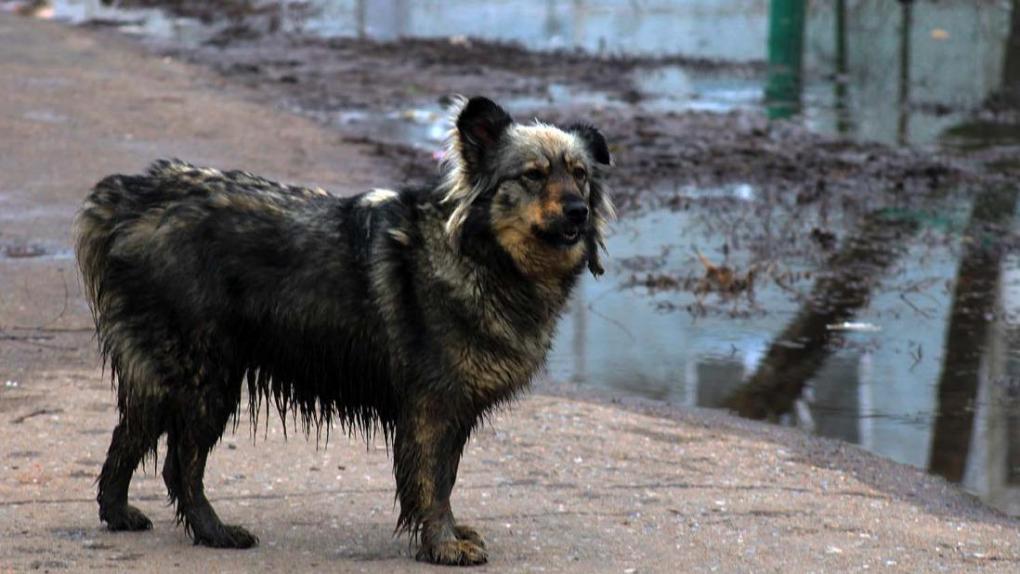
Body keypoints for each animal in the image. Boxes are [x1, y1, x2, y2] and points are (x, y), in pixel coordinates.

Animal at [75, 95, 612, 566]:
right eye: (532, 176)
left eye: (580, 175)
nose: (578, 211)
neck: (481, 254)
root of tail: (132, 197)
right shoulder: (432, 406)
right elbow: (433, 484)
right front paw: (442, 545)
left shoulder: (452, 409)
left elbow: (445, 478)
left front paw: (449, 535)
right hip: (206, 375)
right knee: (179, 462)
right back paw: (214, 532)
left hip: (168, 373)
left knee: (130, 435)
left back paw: (118, 513)